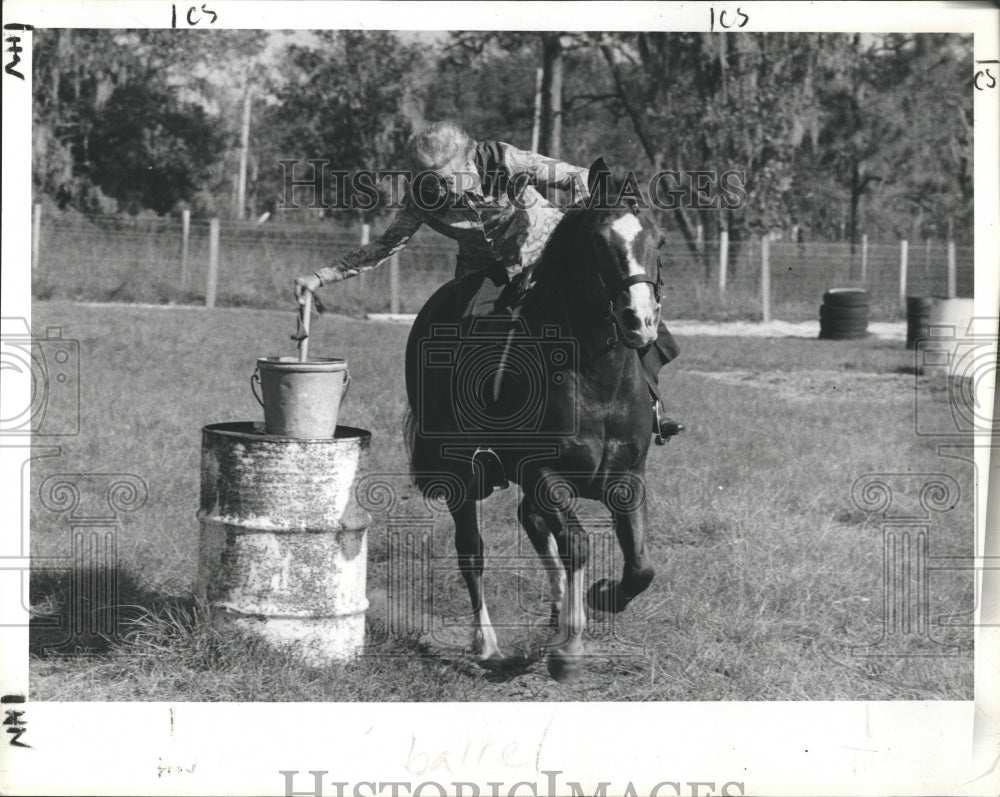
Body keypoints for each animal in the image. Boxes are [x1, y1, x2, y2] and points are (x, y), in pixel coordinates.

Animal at [402, 159, 668, 680]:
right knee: (472, 551)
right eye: (598, 241)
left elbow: (640, 564)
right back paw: (488, 644)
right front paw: (569, 649)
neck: (595, 375)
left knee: (531, 521)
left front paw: (601, 599)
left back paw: (559, 607)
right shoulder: (541, 471)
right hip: (462, 474)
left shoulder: (628, 476)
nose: (639, 321)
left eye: (658, 238)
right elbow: (578, 545)